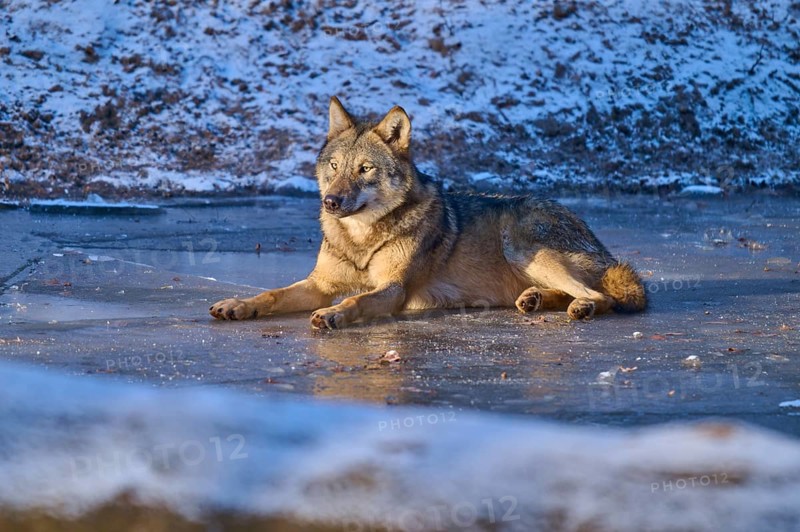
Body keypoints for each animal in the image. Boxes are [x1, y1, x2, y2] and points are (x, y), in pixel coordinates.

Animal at [209, 97, 646, 329]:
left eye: (364, 169)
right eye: (334, 166)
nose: (330, 202)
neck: (362, 237)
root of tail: (601, 245)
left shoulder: (394, 290)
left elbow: (355, 301)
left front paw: (333, 314)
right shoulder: (319, 284)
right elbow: (272, 293)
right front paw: (238, 305)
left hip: (522, 248)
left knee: (603, 295)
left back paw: (581, 306)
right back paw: (535, 300)